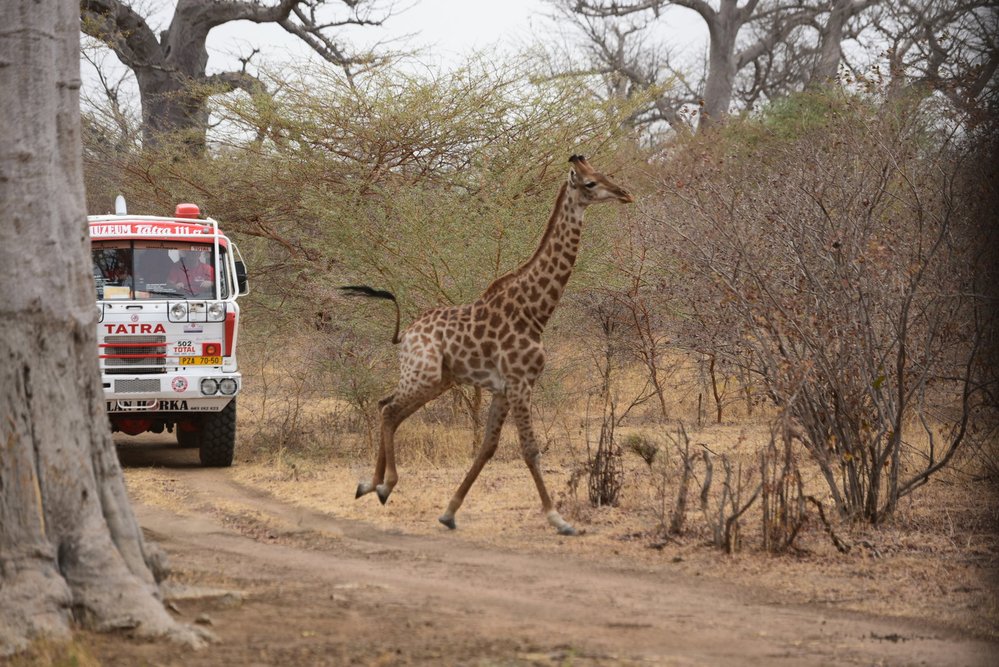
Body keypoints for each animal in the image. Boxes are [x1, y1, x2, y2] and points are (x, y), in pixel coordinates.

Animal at [344, 154, 636, 536]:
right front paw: (558, 519)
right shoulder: (520, 382)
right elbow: (530, 449)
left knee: (386, 407)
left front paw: (449, 512)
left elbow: (487, 447)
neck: (535, 312)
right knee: (390, 411)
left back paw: (370, 484)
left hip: (437, 379)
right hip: (424, 376)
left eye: (605, 174)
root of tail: (405, 333)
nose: (625, 193)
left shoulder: (502, 388)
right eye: (590, 183)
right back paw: (384, 485)